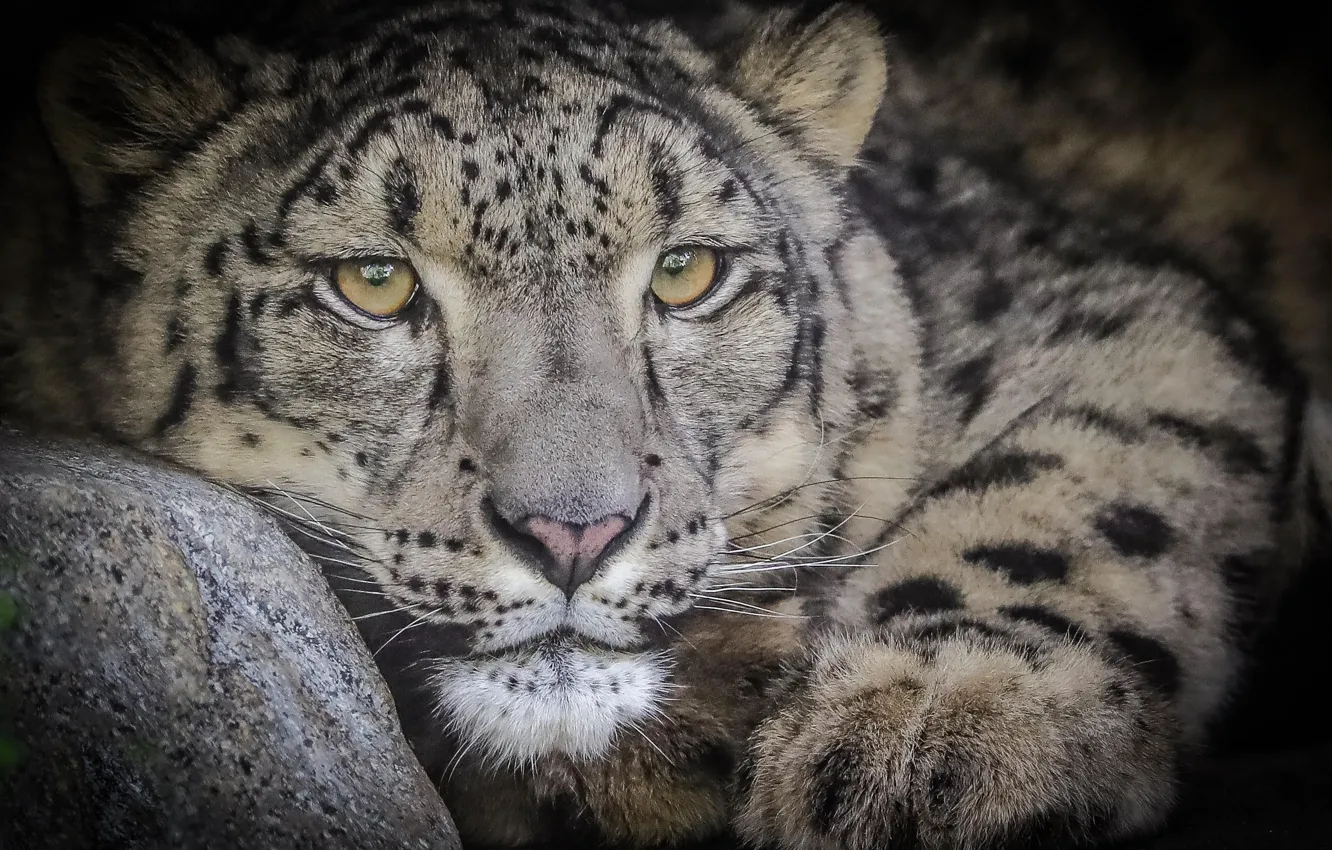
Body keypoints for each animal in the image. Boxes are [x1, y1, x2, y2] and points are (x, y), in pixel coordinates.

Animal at [0, 1, 1326, 848]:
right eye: (371, 281)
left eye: (688, 271)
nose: (573, 532)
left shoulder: (1121, 305)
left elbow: (1079, 485)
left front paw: (938, 734)